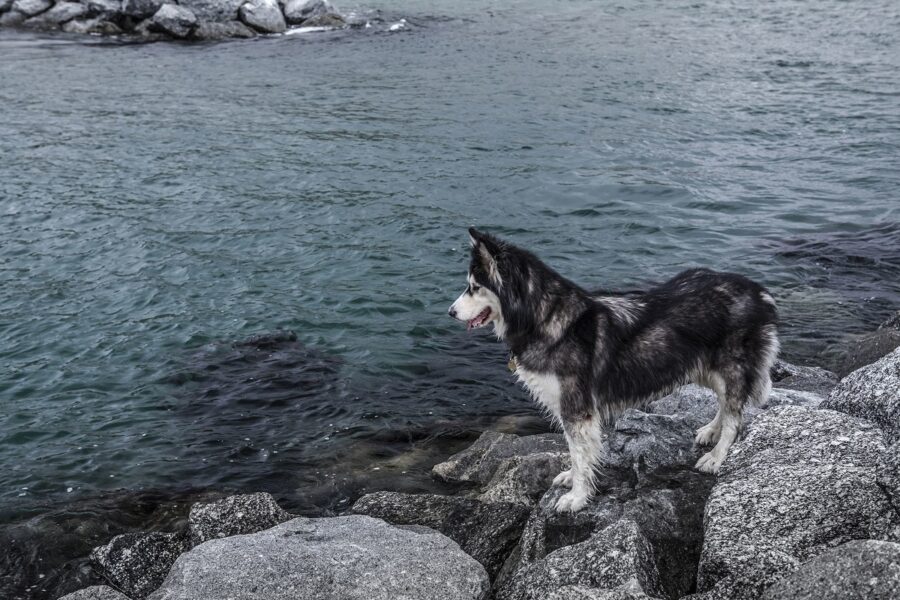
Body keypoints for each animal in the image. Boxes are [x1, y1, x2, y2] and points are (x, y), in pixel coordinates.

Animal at [450, 229, 780, 510]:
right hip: (704, 368)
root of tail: (758, 290)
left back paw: (717, 455)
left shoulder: (576, 408)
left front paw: (577, 497)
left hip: (729, 367)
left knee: (735, 416)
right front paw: (573, 479)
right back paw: (711, 430)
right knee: (726, 404)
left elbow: (580, 455)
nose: (451, 312)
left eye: (474, 287)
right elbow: (577, 453)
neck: (542, 318)